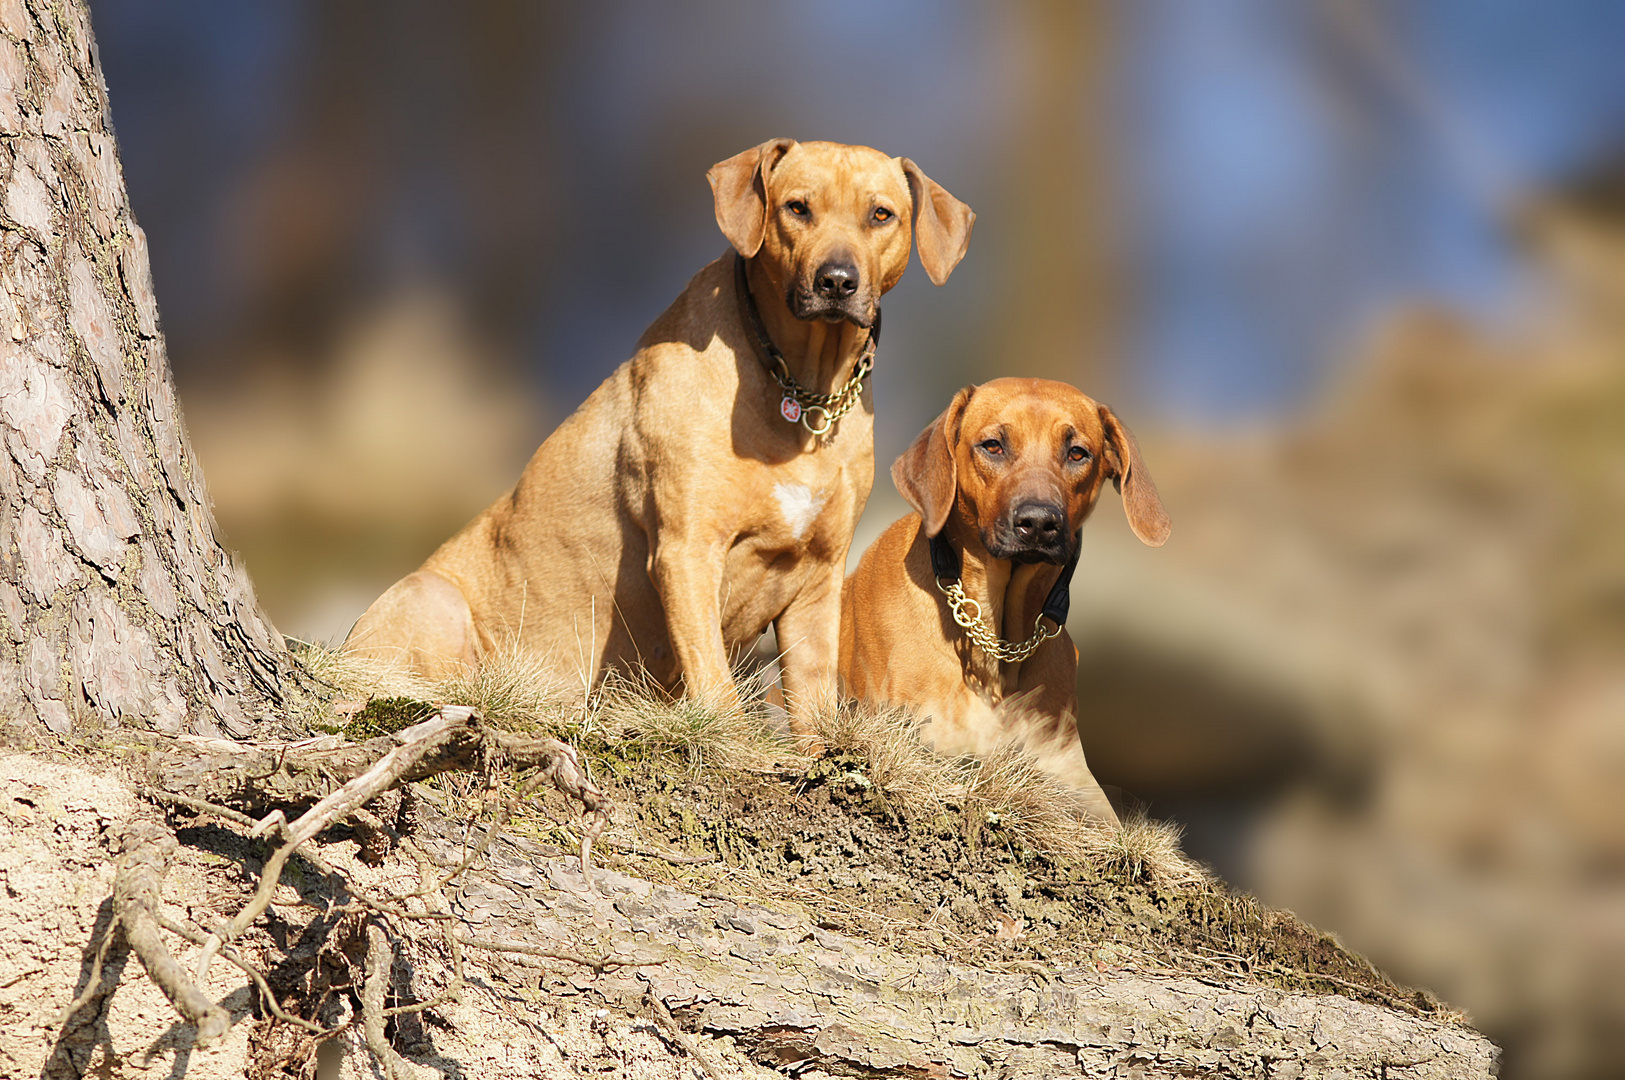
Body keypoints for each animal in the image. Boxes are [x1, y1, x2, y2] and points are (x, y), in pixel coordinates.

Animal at [344, 137, 968, 734]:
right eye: (797, 207)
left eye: (881, 214)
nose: (837, 281)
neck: (800, 388)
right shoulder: (687, 551)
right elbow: (715, 685)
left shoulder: (818, 579)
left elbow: (814, 706)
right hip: (431, 598)